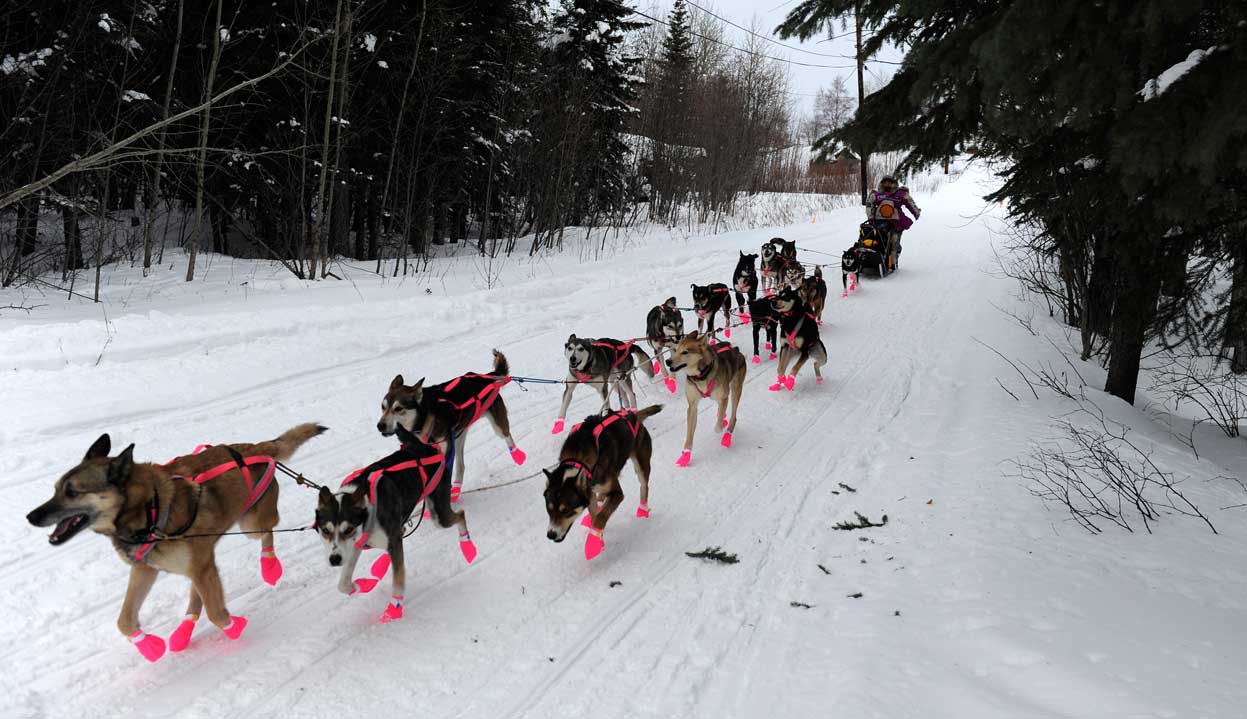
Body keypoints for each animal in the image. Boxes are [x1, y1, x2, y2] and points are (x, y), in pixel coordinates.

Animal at [26, 421, 326, 662]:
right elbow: (125, 621)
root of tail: (254, 448)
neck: (149, 508)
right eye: (55, 489)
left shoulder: (197, 567)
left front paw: (234, 627)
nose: (31, 516)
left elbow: (217, 613)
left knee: (267, 533)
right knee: (197, 596)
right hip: (203, 557)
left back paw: (270, 566)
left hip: (248, 527)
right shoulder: (146, 569)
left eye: (72, 492)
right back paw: (183, 632)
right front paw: (149, 646)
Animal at [546, 403, 663, 560]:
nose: (550, 534)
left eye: (566, 510)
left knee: (644, 486)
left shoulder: (617, 494)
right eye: (549, 509)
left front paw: (593, 543)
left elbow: (600, 518)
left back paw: (642, 510)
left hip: (641, 465)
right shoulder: (590, 493)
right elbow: (595, 514)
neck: (578, 461)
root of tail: (632, 415)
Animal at [668, 331, 743, 466]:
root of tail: (735, 349)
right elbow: (689, 433)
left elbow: (718, 425)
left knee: (733, 415)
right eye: (675, 350)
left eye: (685, 352)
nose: (667, 361)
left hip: (736, 390)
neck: (700, 375)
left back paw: (727, 434)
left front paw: (719, 427)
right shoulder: (692, 406)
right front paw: (686, 454)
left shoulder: (724, 397)